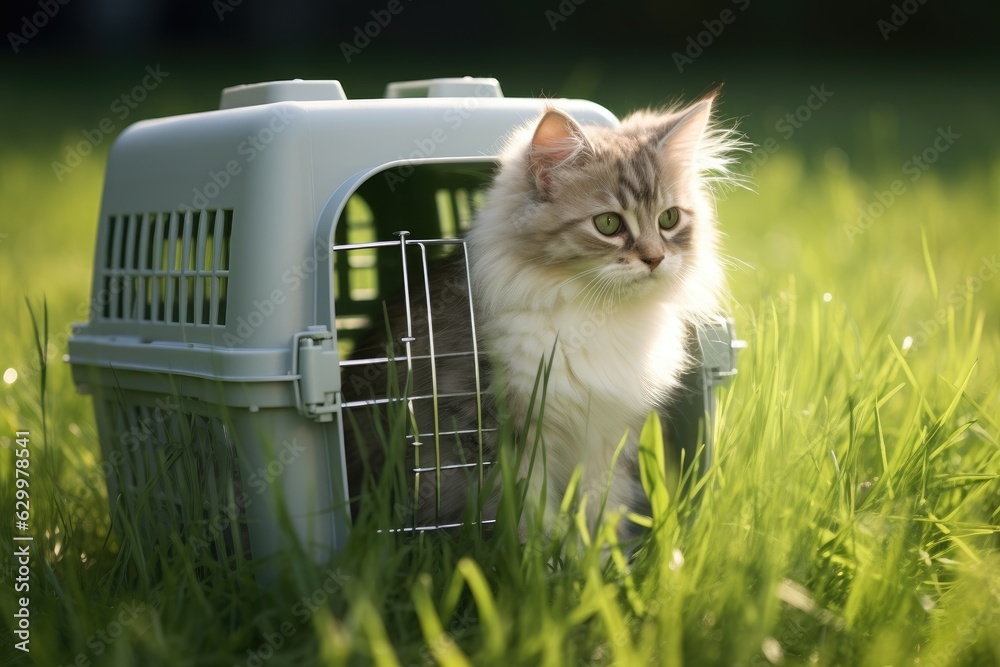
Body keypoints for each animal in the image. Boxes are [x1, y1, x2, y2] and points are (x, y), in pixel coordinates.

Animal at [344, 95, 744, 536]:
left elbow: (601, 508)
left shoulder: (607, 436)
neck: (597, 314)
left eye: (669, 219)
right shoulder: (496, 430)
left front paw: (600, 552)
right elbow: (527, 513)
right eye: (608, 224)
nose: (655, 259)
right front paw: (539, 553)